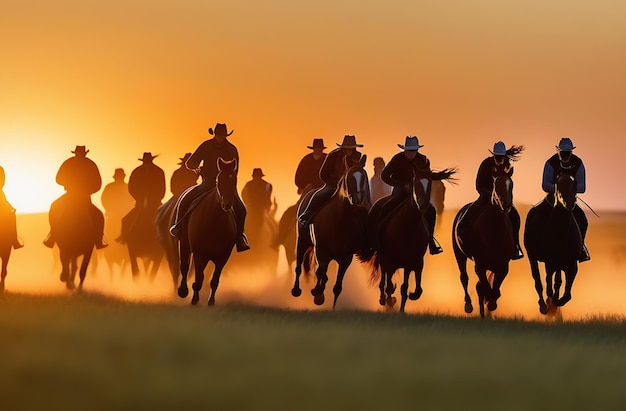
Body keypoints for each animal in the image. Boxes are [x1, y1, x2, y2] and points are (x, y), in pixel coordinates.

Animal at [177, 159, 238, 308]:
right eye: (218, 180)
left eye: (234, 180)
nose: (227, 204)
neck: (215, 223)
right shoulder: (199, 254)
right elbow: (198, 278)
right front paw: (194, 300)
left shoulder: (222, 258)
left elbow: (214, 280)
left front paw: (211, 302)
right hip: (185, 244)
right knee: (185, 267)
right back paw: (183, 291)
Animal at [292, 155, 370, 308]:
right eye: (349, 177)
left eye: (363, 177)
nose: (358, 200)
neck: (340, 222)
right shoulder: (322, 251)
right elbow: (320, 272)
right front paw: (317, 294)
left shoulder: (346, 258)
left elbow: (337, 286)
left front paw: (332, 306)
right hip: (302, 240)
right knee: (299, 265)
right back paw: (297, 290)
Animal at [358, 169, 456, 314]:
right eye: (416, 183)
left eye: (430, 183)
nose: (423, 204)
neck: (408, 227)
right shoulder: (390, 259)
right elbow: (389, 284)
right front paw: (390, 300)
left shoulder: (414, 262)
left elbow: (409, 287)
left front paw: (407, 302)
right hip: (384, 258)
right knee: (384, 279)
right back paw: (384, 299)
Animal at [450, 172, 516, 320]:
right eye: (496, 184)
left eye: (511, 184)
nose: (506, 205)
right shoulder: (480, 265)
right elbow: (485, 288)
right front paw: (489, 304)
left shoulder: (503, 266)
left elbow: (494, 289)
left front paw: (491, 304)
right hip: (459, 254)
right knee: (464, 277)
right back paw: (469, 305)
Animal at [520, 175, 580, 316]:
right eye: (559, 186)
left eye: (574, 185)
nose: (569, 203)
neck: (563, 232)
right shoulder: (550, 262)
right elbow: (548, 286)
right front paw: (550, 304)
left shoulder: (571, 264)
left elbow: (566, 293)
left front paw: (557, 303)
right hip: (533, 258)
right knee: (538, 281)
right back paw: (543, 305)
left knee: (556, 282)